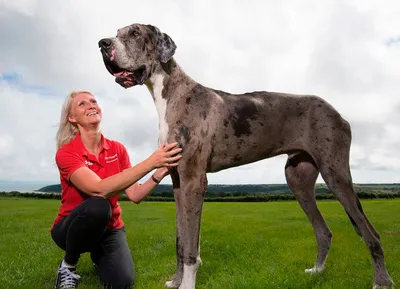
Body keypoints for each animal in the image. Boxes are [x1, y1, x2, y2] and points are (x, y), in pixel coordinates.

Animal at [99, 23, 394, 288]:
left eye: (135, 33)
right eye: (116, 33)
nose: (102, 43)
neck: (170, 93)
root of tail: (337, 112)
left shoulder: (194, 181)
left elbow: (191, 247)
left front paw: (187, 285)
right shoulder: (178, 183)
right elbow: (180, 242)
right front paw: (176, 281)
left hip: (336, 174)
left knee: (371, 233)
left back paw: (381, 282)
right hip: (297, 178)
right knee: (324, 231)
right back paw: (317, 271)